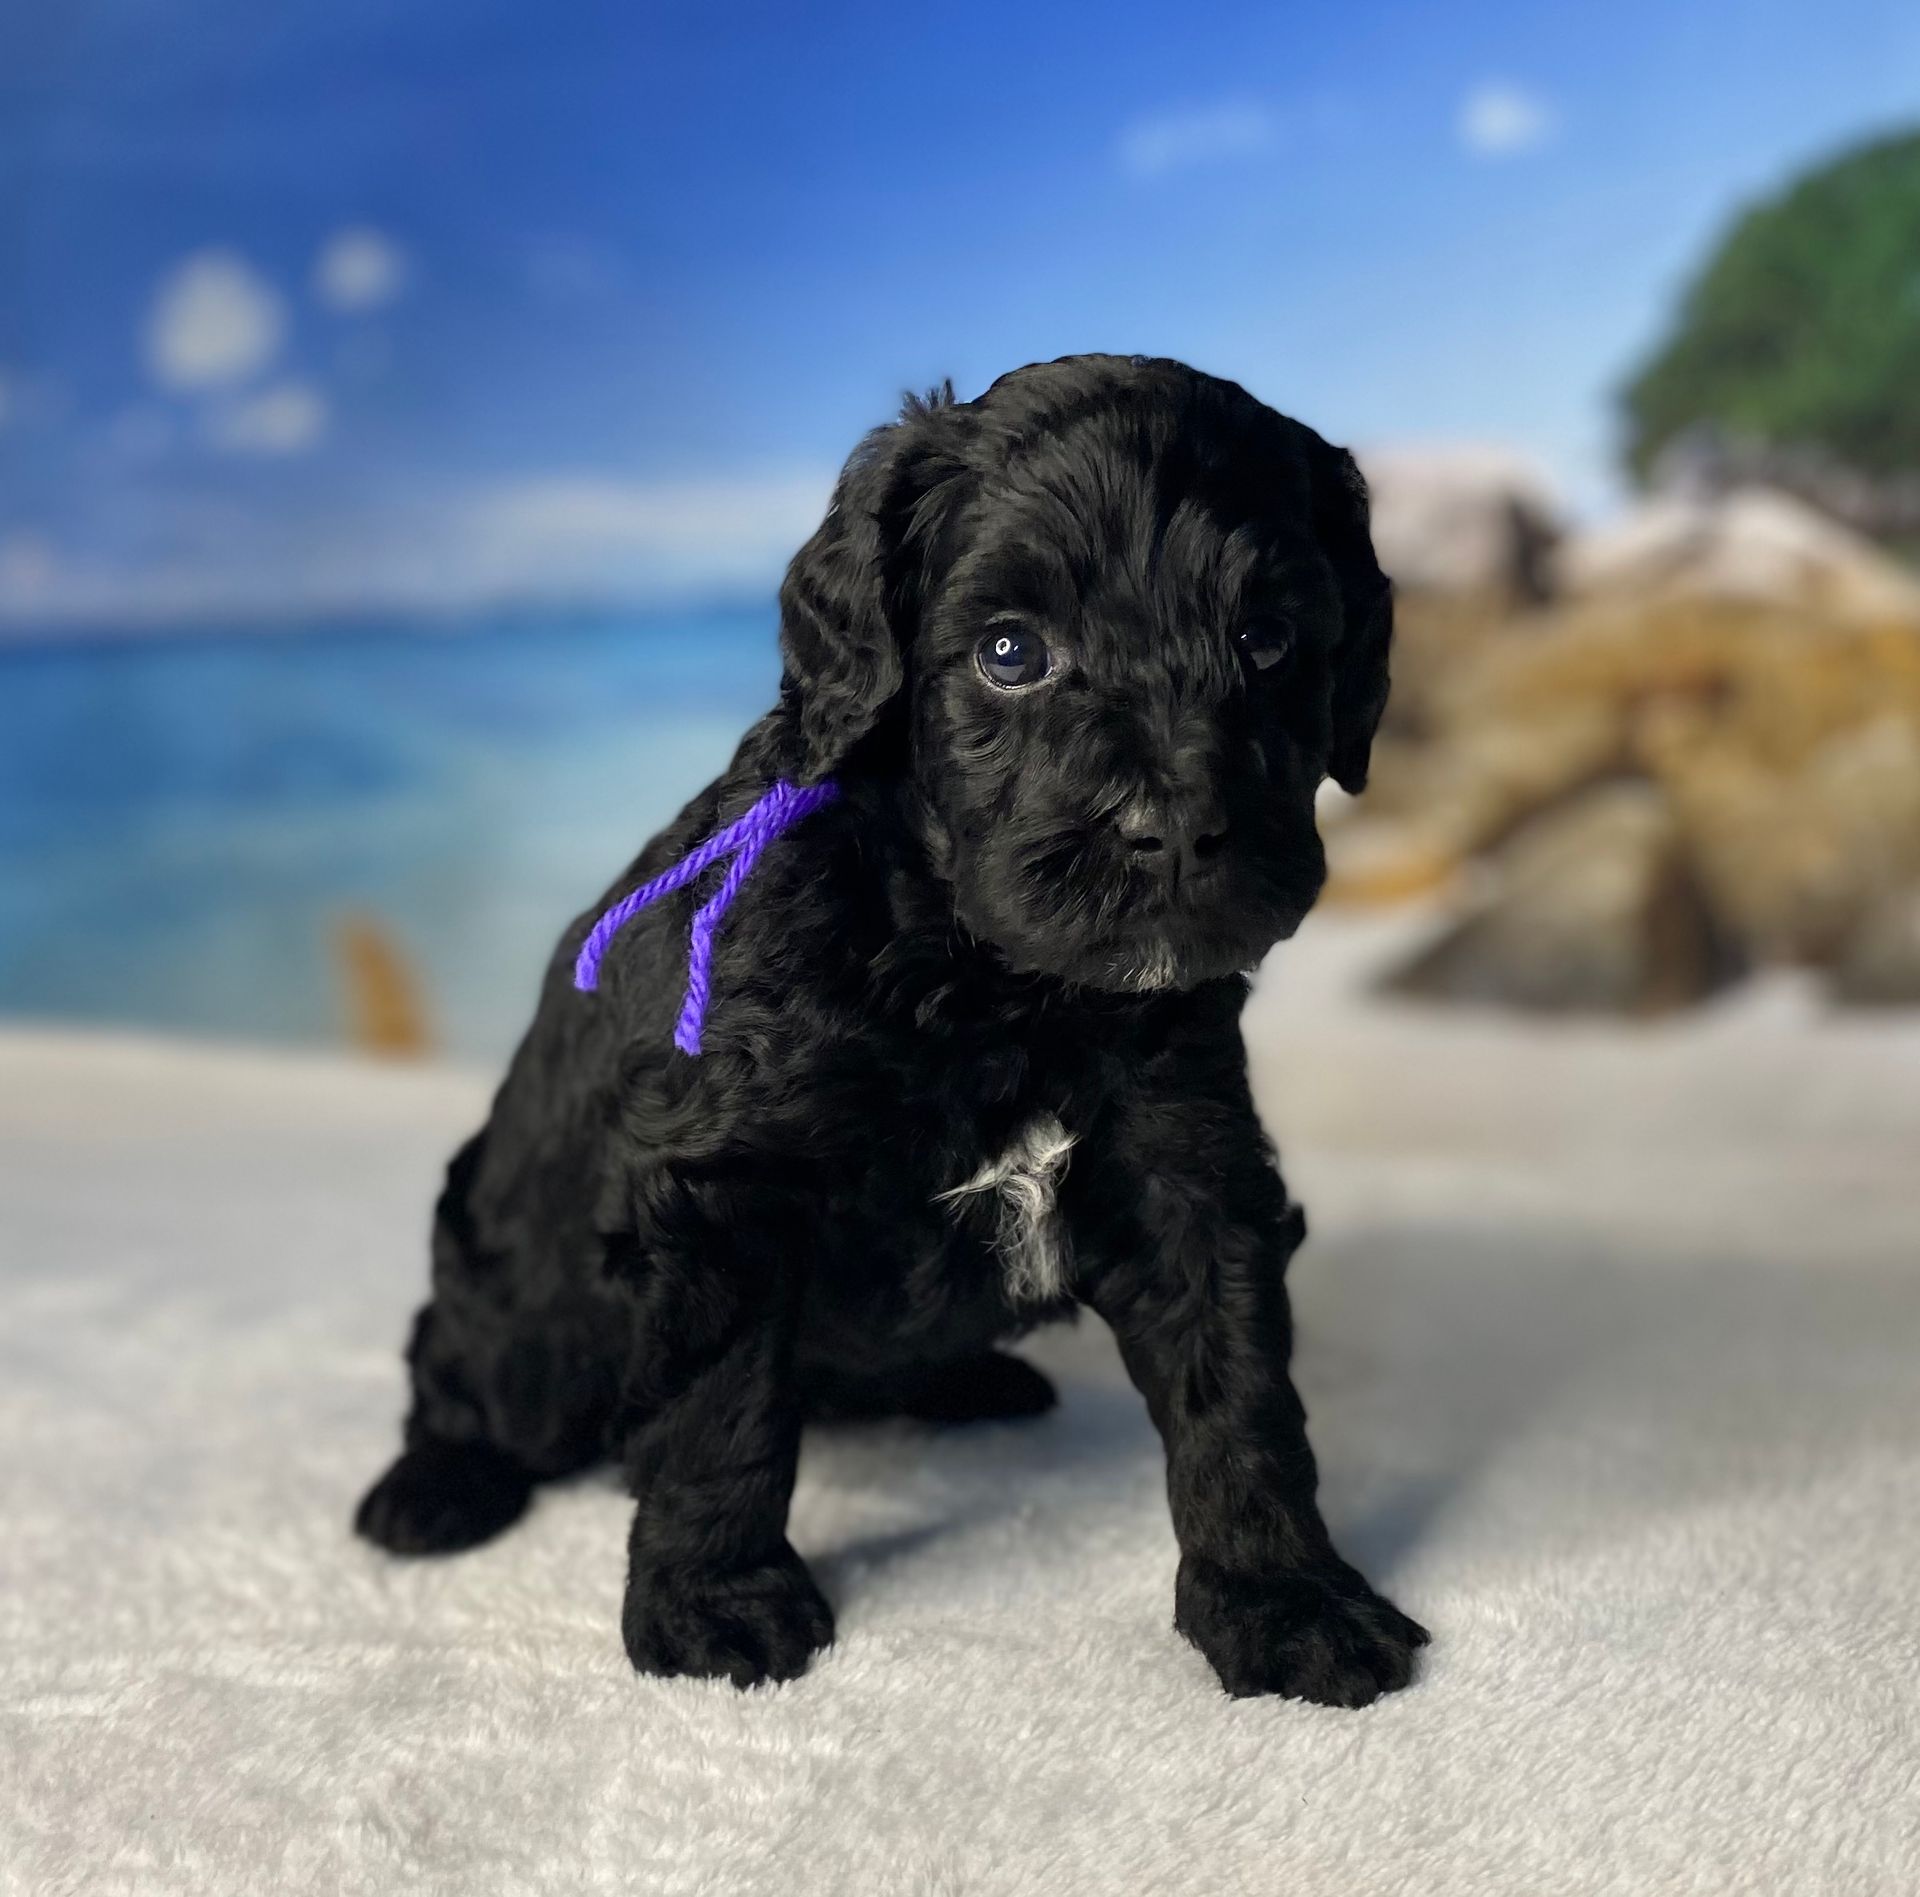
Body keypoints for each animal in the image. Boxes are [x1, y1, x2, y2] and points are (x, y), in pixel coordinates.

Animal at [360, 355, 1428, 1704]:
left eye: (1269, 642)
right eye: (1011, 652)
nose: (1178, 832)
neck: (989, 983)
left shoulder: (1188, 1160)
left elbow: (1238, 1390)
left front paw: (1282, 1596)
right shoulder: (727, 1189)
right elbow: (719, 1410)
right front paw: (714, 1603)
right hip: (518, 1296)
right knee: (462, 1364)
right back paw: (432, 1486)